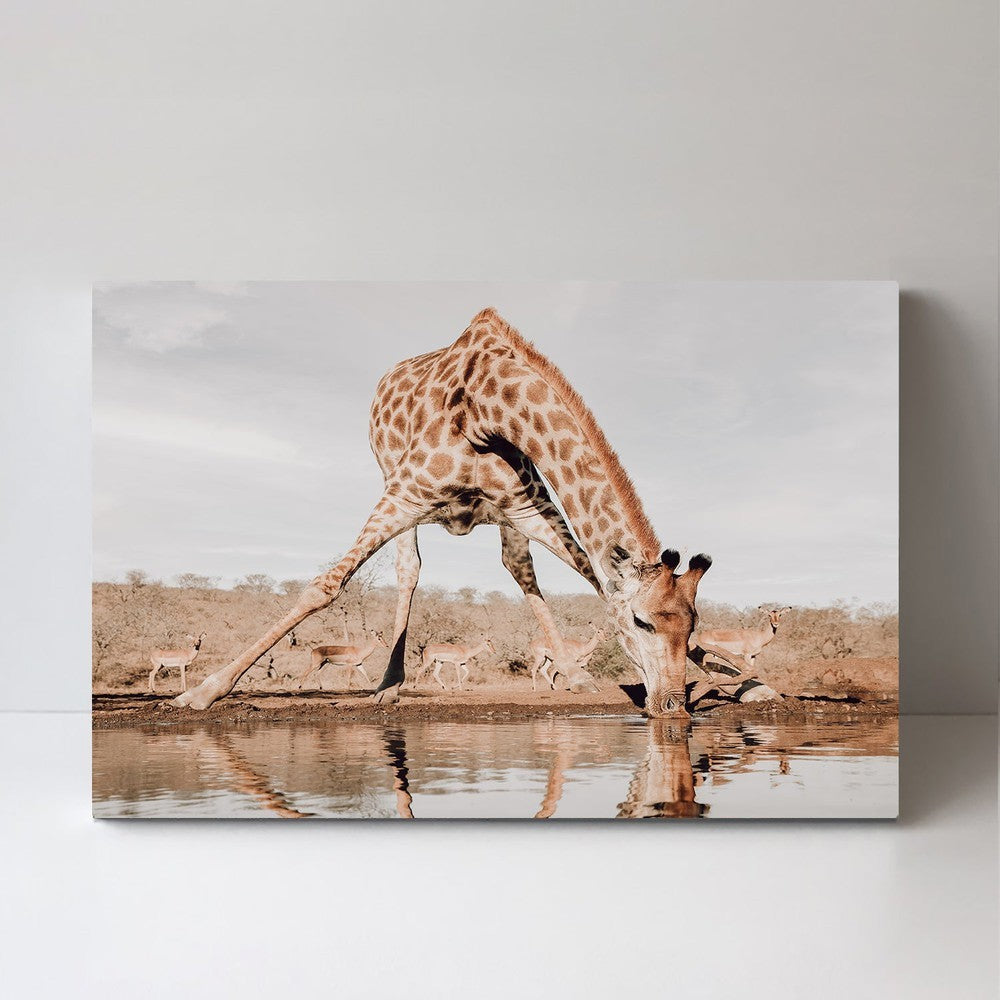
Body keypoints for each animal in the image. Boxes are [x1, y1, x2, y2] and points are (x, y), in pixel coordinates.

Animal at [173, 307, 711, 718]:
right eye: (642, 622)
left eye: (692, 626)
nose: (671, 706)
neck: (490, 410)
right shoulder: (406, 493)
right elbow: (326, 586)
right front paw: (203, 691)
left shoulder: (528, 507)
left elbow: (590, 574)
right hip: (392, 485)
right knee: (408, 569)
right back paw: (388, 684)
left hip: (503, 519)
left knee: (519, 570)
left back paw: (572, 674)